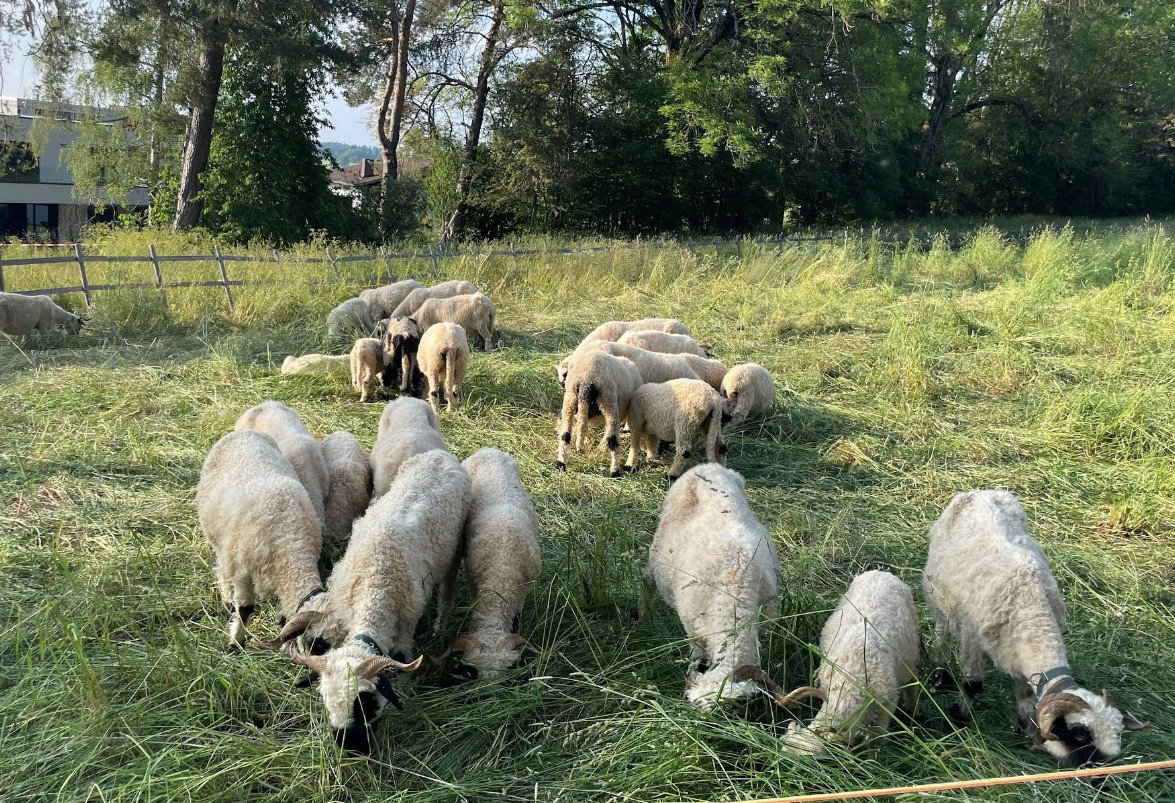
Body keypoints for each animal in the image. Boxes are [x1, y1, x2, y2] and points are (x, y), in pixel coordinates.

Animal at [196, 429, 326, 649]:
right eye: (319, 644)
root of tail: (245, 432)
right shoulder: (243, 572)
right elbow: (245, 609)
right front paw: (235, 643)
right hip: (219, 537)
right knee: (222, 568)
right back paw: (226, 600)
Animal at [272, 449, 472, 753]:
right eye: (326, 701)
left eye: (364, 700)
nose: (350, 747)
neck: (374, 588)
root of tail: (439, 454)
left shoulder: (404, 632)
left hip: (455, 549)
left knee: (447, 594)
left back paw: (439, 627)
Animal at [643, 463, 780, 708]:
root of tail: (707, 466)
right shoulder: (691, 627)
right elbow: (697, 652)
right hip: (657, 552)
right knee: (647, 580)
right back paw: (643, 614)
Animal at [776, 570, 920, 754]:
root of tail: (881, 572)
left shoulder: (886, 708)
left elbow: (876, 743)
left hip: (910, 657)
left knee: (913, 682)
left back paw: (912, 708)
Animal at [922, 490, 1148, 766]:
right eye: (1080, 735)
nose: (1095, 772)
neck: (1033, 612)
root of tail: (980, 492)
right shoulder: (971, 640)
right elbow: (972, 685)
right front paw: (958, 720)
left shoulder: (1019, 659)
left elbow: (1025, 697)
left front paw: (1022, 730)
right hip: (938, 598)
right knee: (941, 630)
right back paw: (939, 667)